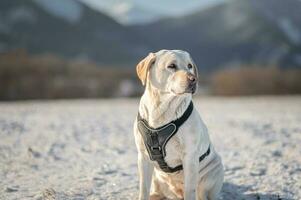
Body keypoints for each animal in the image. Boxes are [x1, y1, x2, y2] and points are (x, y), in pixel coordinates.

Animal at [134, 50, 223, 200]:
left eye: (190, 66)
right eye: (171, 66)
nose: (194, 79)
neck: (162, 110)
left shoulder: (190, 156)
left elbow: (190, 190)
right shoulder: (143, 156)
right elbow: (143, 189)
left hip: (213, 170)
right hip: (158, 179)